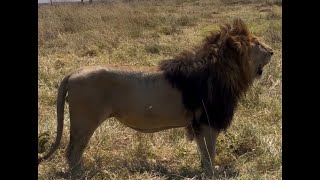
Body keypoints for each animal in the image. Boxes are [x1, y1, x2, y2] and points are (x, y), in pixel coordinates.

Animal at [37, 18, 272, 176]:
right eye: (258, 43)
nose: (272, 51)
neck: (225, 71)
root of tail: (73, 72)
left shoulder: (199, 124)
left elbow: (203, 152)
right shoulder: (207, 121)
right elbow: (209, 152)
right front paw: (212, 173)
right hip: (85, 122)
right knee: (72, 151)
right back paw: (80, 174)